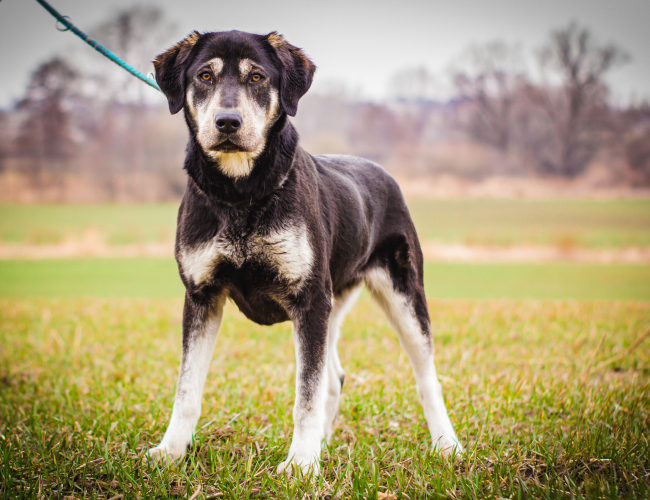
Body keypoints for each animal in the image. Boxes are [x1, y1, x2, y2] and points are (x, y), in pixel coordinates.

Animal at [147, 29, 460, 474]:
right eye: (204, 75)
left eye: (257, 77)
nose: (227, 122)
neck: (242, 192)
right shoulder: (202, 295)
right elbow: (187, 389)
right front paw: (171, 452)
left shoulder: (308, 299)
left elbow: (305, 396)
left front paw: (299, 465)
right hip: (334, 303)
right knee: (335, 377)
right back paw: (324, 445)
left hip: (402, 295)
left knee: (426, 378)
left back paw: (447, 445)